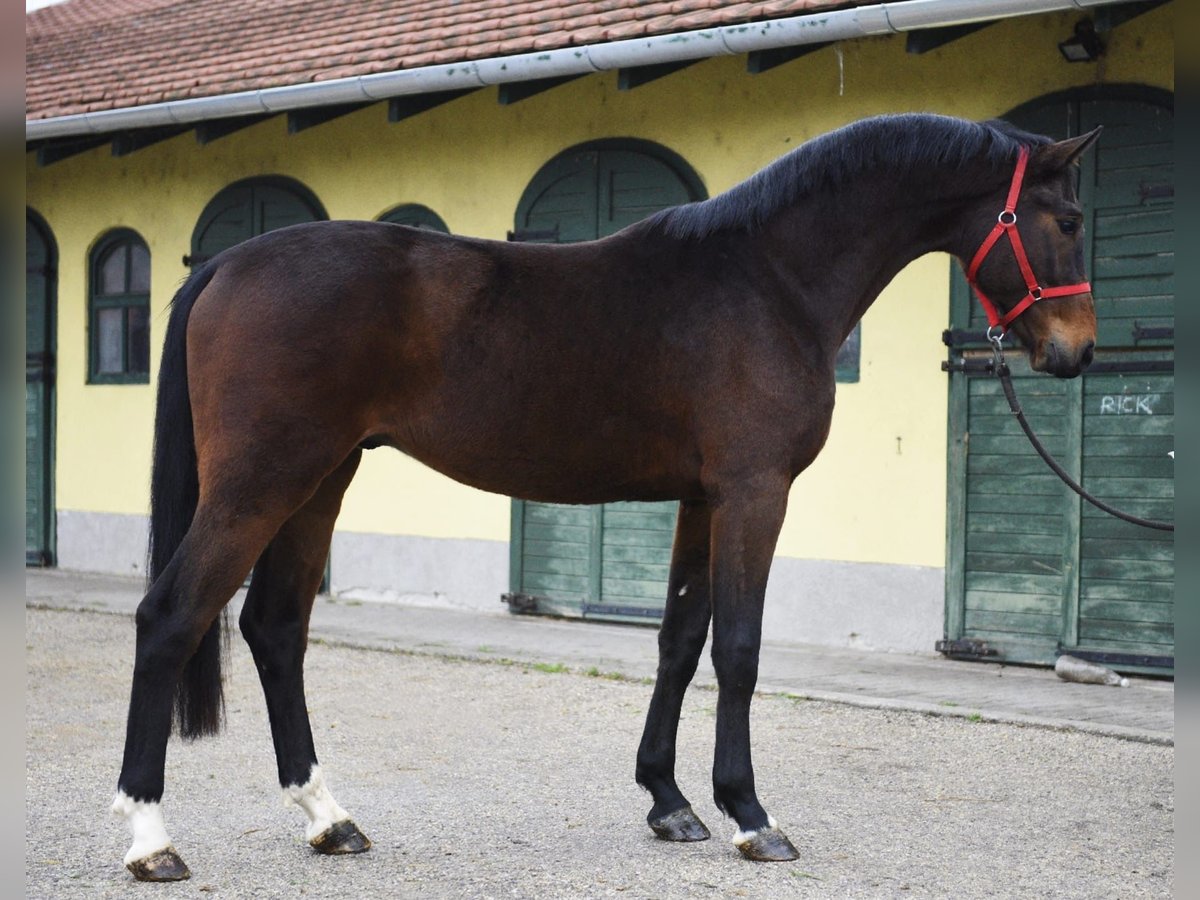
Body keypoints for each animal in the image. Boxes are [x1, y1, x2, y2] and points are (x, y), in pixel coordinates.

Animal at [112, 113, 1100, 881]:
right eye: (1069, 217)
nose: (1078, 351)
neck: (767, 278)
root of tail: (223, 266)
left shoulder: (704, 499)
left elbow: (681, 641)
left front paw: (670, 800)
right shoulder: (754, 492)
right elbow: (739, 649)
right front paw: (751, 816)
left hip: (322, 478)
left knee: (275, 628)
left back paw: (329, 819)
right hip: (262, 481)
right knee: (171, 618)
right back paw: (151, 839)